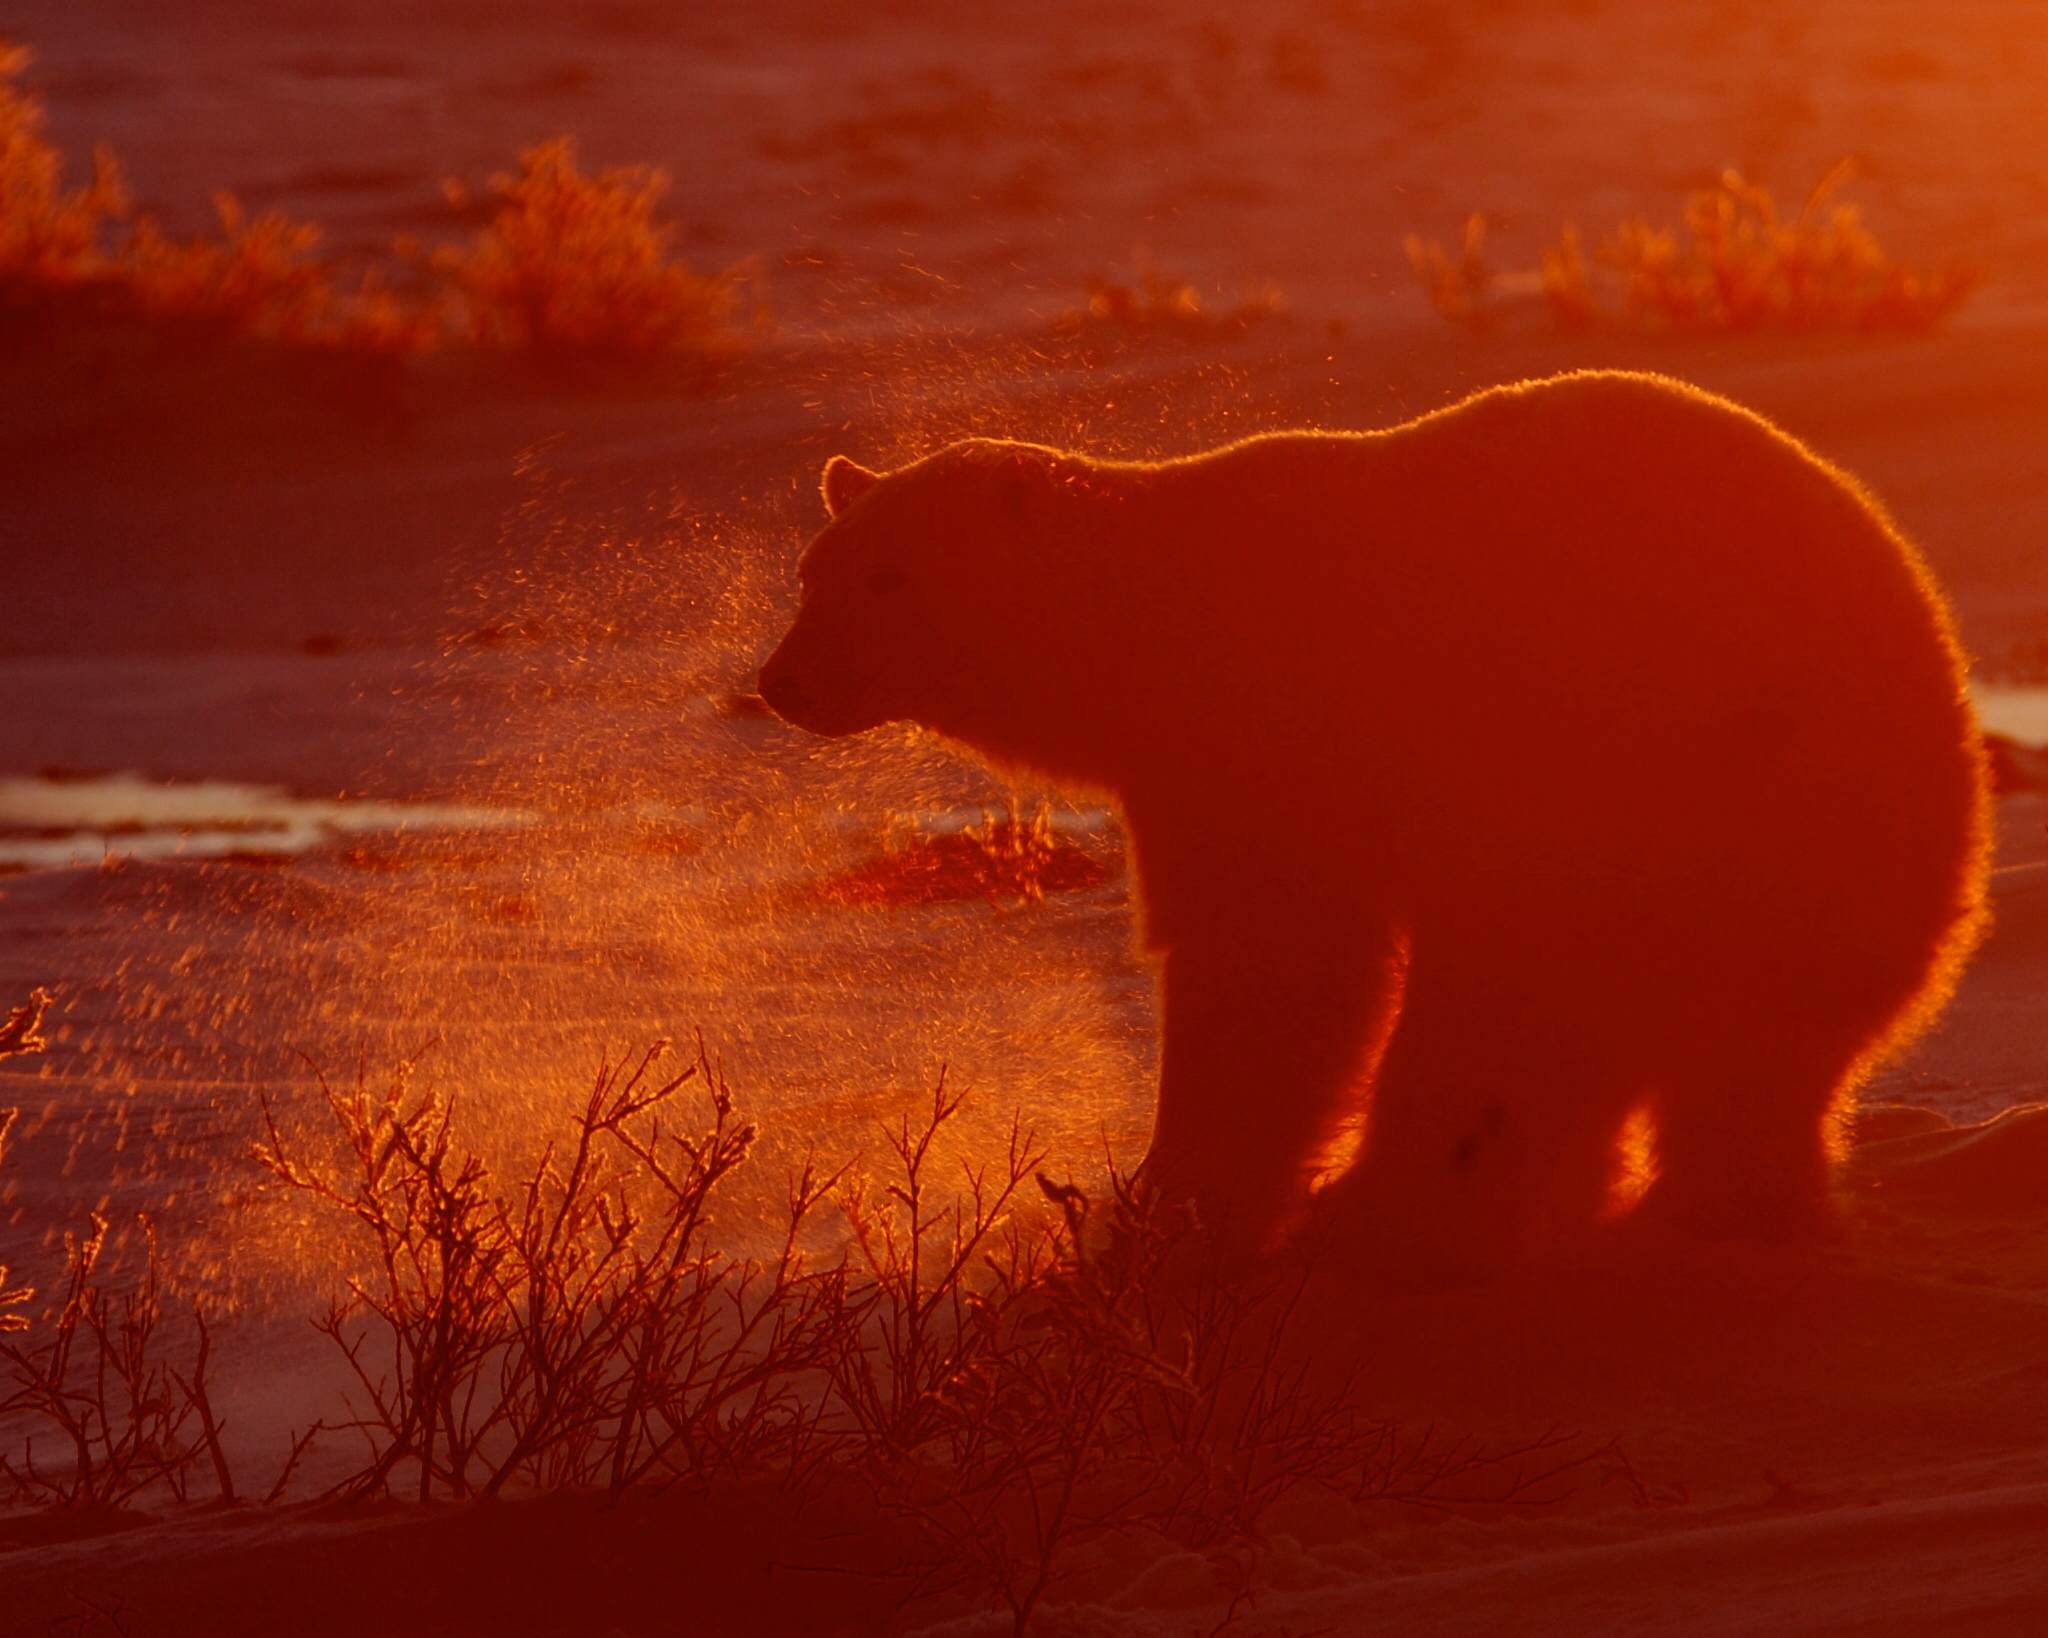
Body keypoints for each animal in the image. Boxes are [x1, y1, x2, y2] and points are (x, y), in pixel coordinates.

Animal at [757, 370, 1991, 1268]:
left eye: (889, 577)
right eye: (814, 573)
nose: (783, 680)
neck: (1159, 623)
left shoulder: (1274, 738)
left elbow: (1275, 960)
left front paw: (1168, 1202)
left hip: (1678, 801)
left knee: (1521, 1013)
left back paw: (1404, 1213)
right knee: (1735, 1064)